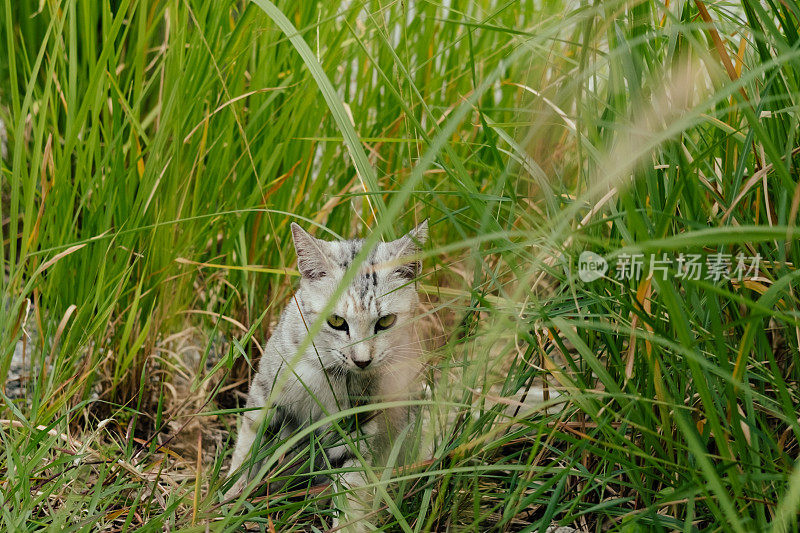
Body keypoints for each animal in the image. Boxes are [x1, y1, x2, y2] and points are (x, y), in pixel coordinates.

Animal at [225, 219, 428, 528]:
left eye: (385, 322)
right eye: (335, 321)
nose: (362, 361)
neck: (329, 371)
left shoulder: (357, 424)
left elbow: (351, 486)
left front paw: (348, 526)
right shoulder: (266, 393)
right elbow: (247, 448)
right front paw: (230, 497)